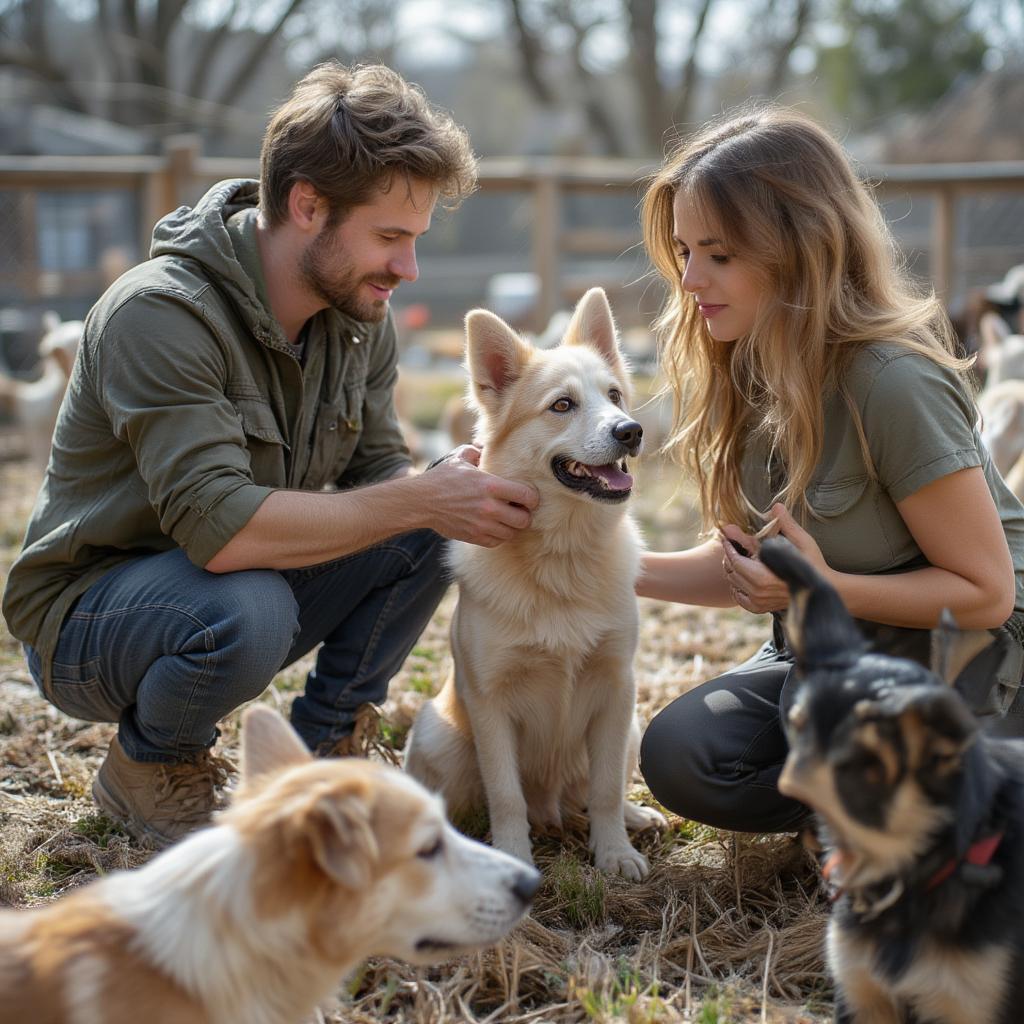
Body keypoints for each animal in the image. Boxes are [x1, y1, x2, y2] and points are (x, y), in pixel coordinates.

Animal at [403, 286, 667, 880]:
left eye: (615, 396)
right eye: (562, 405)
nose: (630, 431)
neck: (561, 557)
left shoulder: (617, 688)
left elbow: (607, 788)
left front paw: (614, 852)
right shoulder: (490, 701)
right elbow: (506, 796)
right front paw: (512, 857)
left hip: (633, 728)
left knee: (590, 792)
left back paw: (634, 818)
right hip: (435, 732)